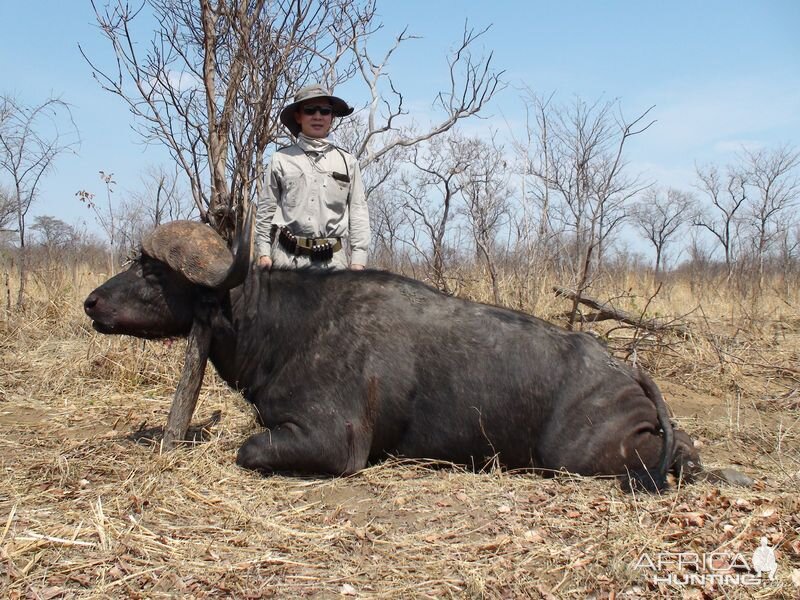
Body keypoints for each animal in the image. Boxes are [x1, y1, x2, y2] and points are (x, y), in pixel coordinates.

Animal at [83, 218, 708, 490]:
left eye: (151, 270)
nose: (92, 302)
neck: (281, 323)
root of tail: (625, 374)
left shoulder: (332, 442)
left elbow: (248, 449)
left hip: (579, 459)